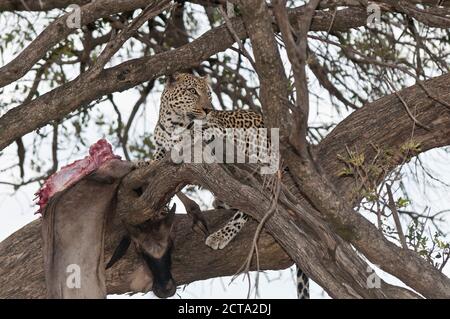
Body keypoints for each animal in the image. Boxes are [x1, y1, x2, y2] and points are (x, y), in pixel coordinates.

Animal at [142, 72, 310, 300]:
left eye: (209, 94)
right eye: (192, 91)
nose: (208, 109)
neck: (172, 124)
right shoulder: (160, 149)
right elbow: (157, 166)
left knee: (251, 202)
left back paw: (221, 235)